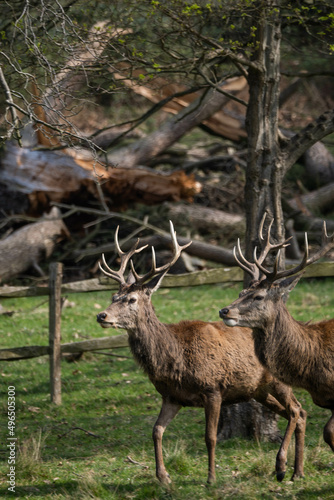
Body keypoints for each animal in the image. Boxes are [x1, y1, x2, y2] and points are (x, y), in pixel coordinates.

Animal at [96, 222, 306, 484]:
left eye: (132, 299)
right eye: (113, 296)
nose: (101, 315)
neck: (174, 360)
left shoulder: (212, 388)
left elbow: (210, 437)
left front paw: (211, 478)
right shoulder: (172, 397)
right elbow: (156, 431)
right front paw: (163, 476)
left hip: (278, 381)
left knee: (296, 410)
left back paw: (281, 466)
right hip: (259, 390)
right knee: (299, 413)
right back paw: (298, 471)